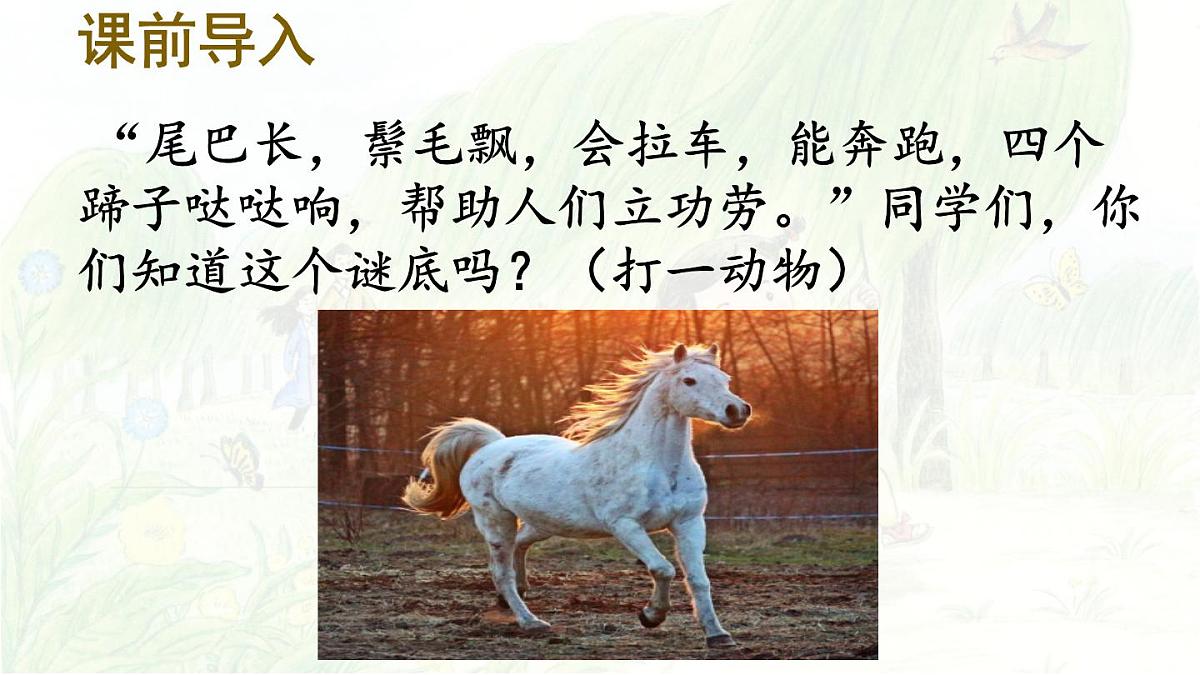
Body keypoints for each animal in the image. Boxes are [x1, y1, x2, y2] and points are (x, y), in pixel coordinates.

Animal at [403, 343, 752, 648]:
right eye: (689, 380)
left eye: (725, 379)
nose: (737, 410)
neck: (657, 465)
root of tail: (491, 445)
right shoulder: (625, 525)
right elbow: (663, 568)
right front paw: (651, 616)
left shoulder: (689, 522)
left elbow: (699, 579)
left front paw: (718, 636)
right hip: (495, 520)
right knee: (501, 572)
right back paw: (531, 622)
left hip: (543, 523)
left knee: (519, 547)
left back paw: (514, 596)